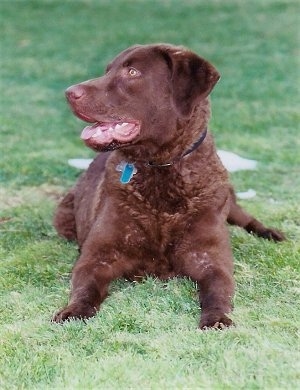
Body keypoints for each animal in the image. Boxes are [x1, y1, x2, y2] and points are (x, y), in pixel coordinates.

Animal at [52, 43, 284, 330]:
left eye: (132, 72)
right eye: (107, 70)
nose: (69, 92)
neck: (160, 169)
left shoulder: (209, 257)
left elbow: (218, 289)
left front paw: (217, 318)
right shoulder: (98, 256)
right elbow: (85, 287)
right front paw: (73, 311)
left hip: (228, 201)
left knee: (246, 218)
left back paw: (271, 233)